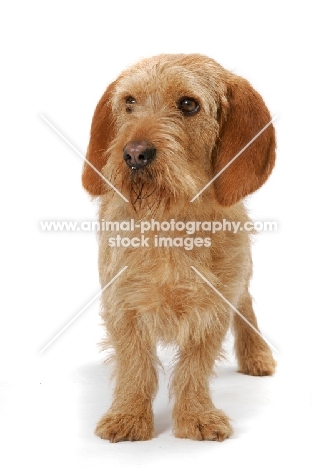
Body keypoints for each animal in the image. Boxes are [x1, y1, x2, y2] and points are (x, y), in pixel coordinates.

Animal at [81, 54, 276, 442]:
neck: (171, 220)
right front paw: (128, 416)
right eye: (129, 101)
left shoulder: (214, 306)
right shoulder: (123, 303)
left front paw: (195, 416)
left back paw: (257, 355)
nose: (134, 154)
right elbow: (135, 363)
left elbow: (194, 366)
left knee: (246, 306)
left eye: (188, 104)